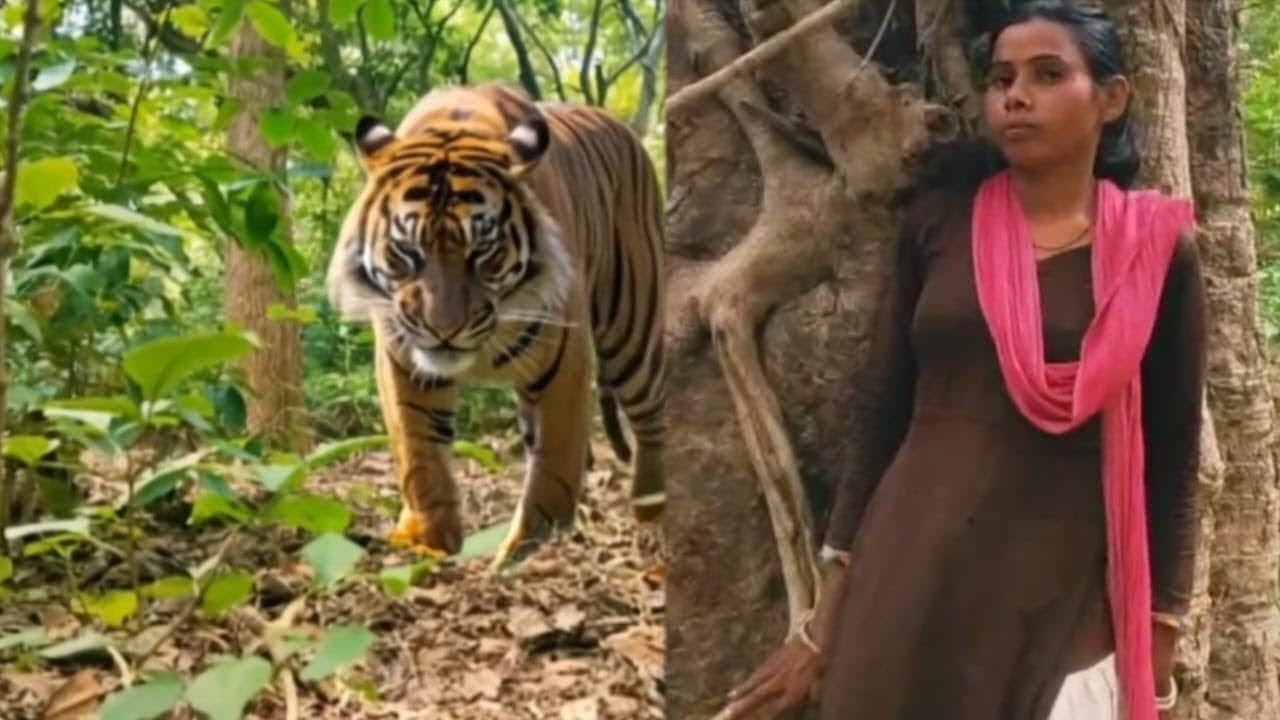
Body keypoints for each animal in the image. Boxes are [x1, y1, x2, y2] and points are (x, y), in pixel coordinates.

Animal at [324, 81, 666, 568]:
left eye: (482, 251)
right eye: (407, 251)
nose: (443, 329)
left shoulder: (564, 363)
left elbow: (554, 466)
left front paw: (525, 550)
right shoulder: (402, 359)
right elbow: (420, 452)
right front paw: (428, 542)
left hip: (632, 325)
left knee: (651, 415)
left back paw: (650, 507)